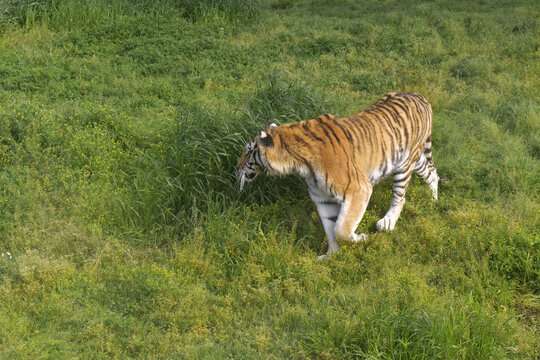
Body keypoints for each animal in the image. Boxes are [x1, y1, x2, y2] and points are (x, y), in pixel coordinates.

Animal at [236, 92, 438, 258]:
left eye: (248, 151)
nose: (236, 167)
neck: (298, 163)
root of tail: (420, 95)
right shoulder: (323, 199)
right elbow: (331, 229)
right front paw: (331, 256)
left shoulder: (359, 189)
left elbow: (341, 229)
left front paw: (361, 238)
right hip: (413, 159)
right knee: (432, 173)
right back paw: (433, 200)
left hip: (405, 165)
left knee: (400, 197)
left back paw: (387, 223)